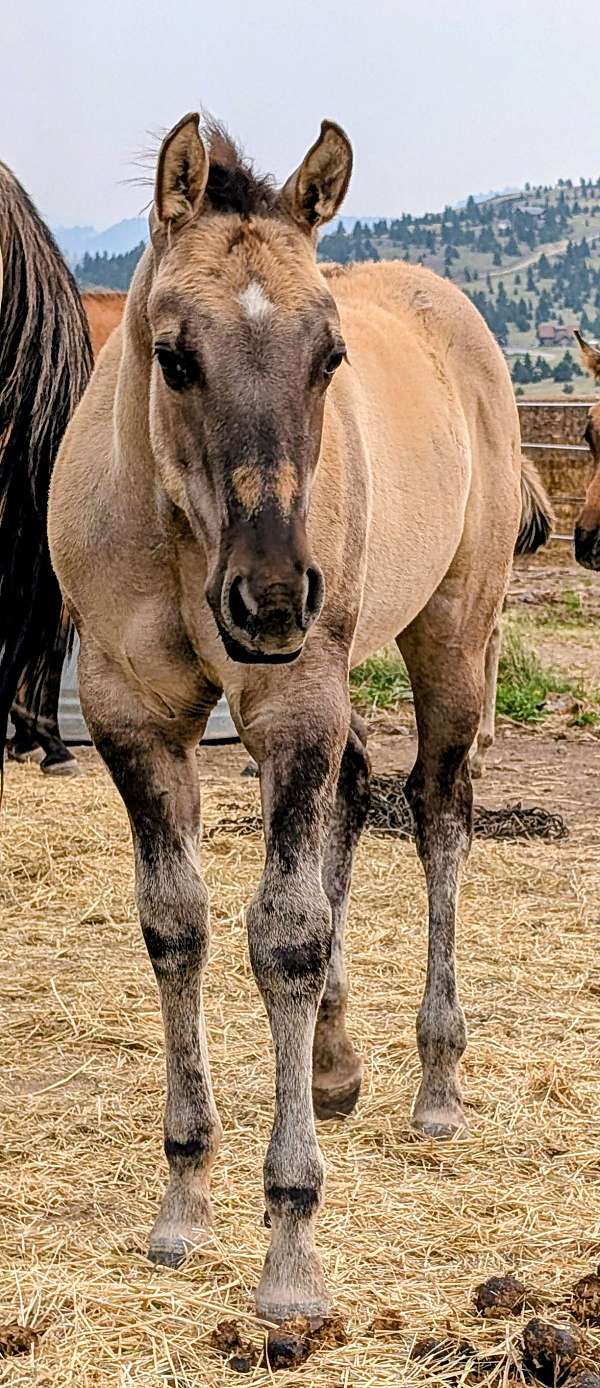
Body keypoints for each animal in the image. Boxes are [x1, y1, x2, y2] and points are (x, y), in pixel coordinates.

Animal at [35, 113, 523, 1319]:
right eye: (173, 354)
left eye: (329, 357)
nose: (268, 599)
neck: (180, 539)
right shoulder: (131, 718)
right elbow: (178, 925)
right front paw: (185, 1196)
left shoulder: (293, 704)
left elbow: (286, 935)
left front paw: (290, 1245)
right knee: (353, 799)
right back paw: (338, 1065)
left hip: (447, 635)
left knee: (440, 813)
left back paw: (437, 1080)